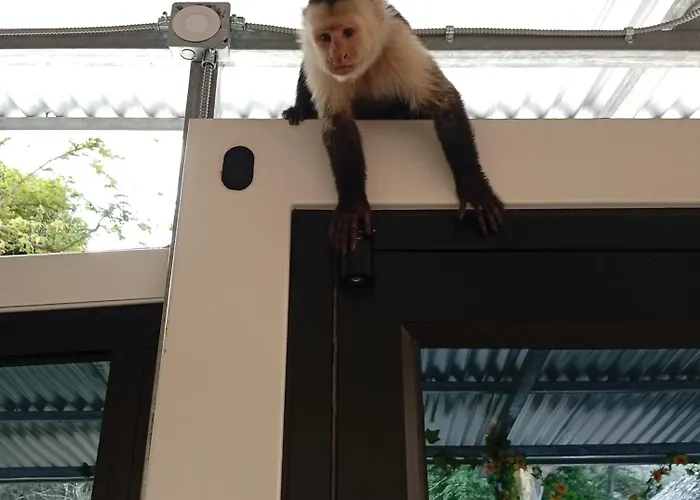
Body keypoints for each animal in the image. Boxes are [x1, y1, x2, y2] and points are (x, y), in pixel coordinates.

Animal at [282, 0, 505, 255]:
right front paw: (352, 203)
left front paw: (474, 187)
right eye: (325, 37)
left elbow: (445, 103)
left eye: (348, 32)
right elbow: (338, 123)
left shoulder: (397, 41)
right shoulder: (317, 59)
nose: (337, 55)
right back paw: (299, 110)